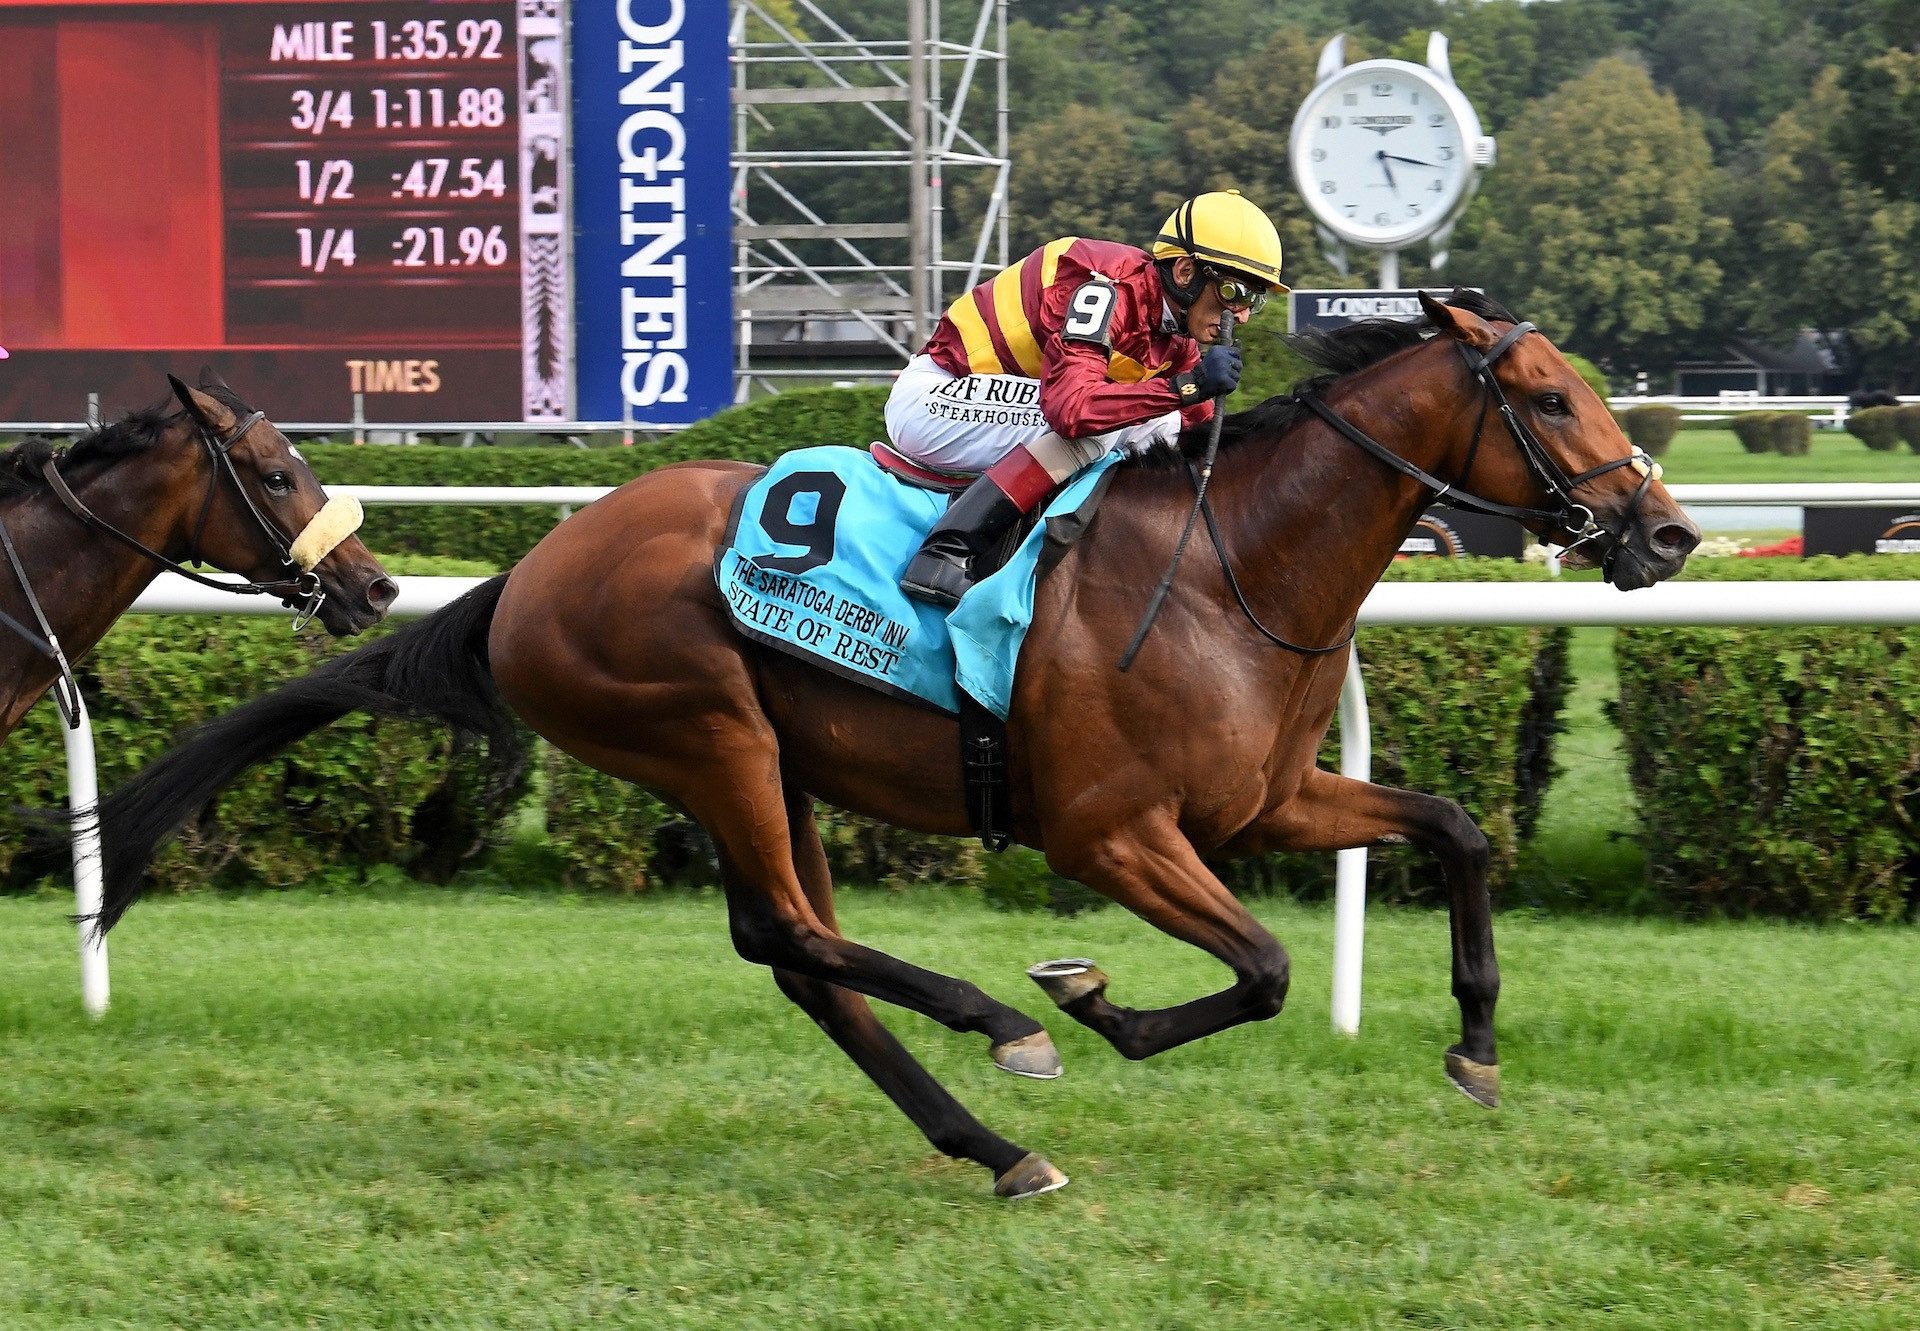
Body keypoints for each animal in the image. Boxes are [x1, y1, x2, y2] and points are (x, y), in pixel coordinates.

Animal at [82, 297, 1697, 1190]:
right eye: (1548, 396)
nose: (1669, 534)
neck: (1234, 561)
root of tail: (530, 568)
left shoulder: (1271, 799)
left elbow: (1453, 831)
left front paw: (1476, 1045)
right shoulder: (1108, 828)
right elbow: (1265, 966)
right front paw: (1092, 999)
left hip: (774, 761)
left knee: (796, 954)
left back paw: (992, 1144)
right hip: (707, 727)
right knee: (797, 931)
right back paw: (1002, 1027)